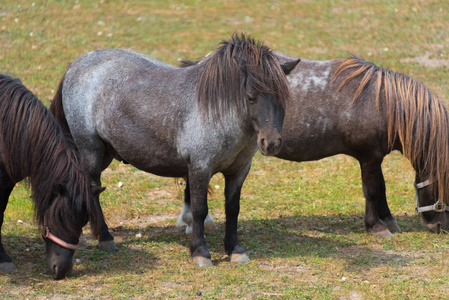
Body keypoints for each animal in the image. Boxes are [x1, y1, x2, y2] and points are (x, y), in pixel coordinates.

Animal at [50, 34, 300, 266]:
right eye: (250, 97)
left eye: (284, 97)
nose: (271, 143)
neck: (217, 110)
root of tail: (77, 65)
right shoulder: (200, 168)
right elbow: (199, 210)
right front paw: (200, 253)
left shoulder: (238, 171)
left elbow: (232, 209)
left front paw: (235, 250)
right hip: (90, 150)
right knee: (92, 188)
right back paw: (104, 238)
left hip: (105, 154)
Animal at [180, 55, 448, 239]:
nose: (441, 226)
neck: (383, 102)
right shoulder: (369, 156)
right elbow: (372, 189)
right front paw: (377, 227)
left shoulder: (374, 156)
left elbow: (380, 187)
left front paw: (388, 221)